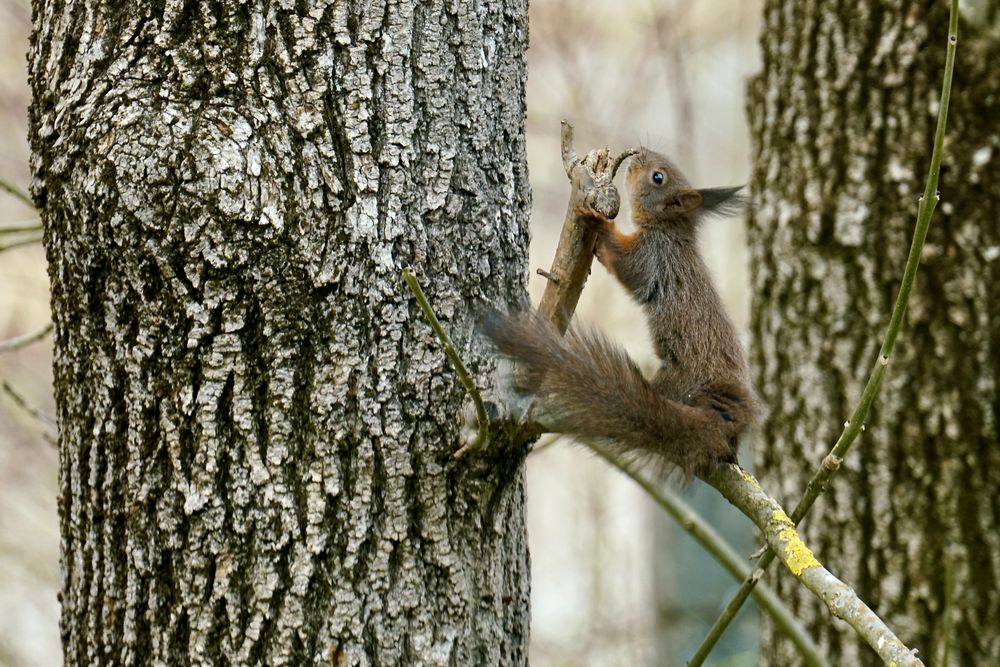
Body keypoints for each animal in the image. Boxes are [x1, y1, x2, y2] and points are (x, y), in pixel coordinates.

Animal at [484, 148, 756, 478]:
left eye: (657, 177)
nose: (638, 153)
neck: (669, 228)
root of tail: (727, 428)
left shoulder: (653, 254)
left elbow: (627, 265)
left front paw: (599, 223)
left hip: (682, 379)